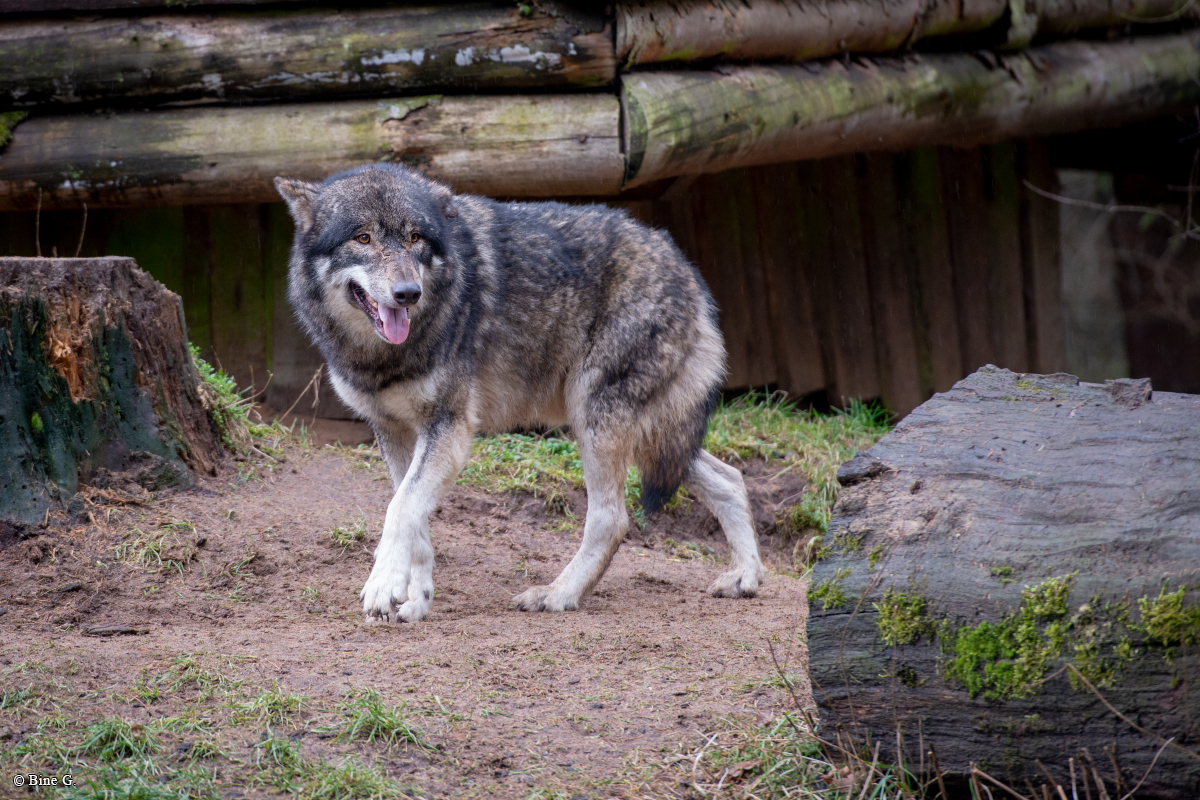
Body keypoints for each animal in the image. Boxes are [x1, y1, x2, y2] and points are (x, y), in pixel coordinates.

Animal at [275, 164, 763, 622]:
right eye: (363, 237)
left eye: (415, 238)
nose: (408, 293)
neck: (381, 356)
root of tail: (683, 263)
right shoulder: (396, 431)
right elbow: (413, 515)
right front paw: (416, 599)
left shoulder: (449, 427)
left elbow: (400, 509)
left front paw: (382, 587)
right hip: (649, 436)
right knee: (730, 478)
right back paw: (745, 577)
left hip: (598, 423)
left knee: (613, 519)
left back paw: (558, 595)